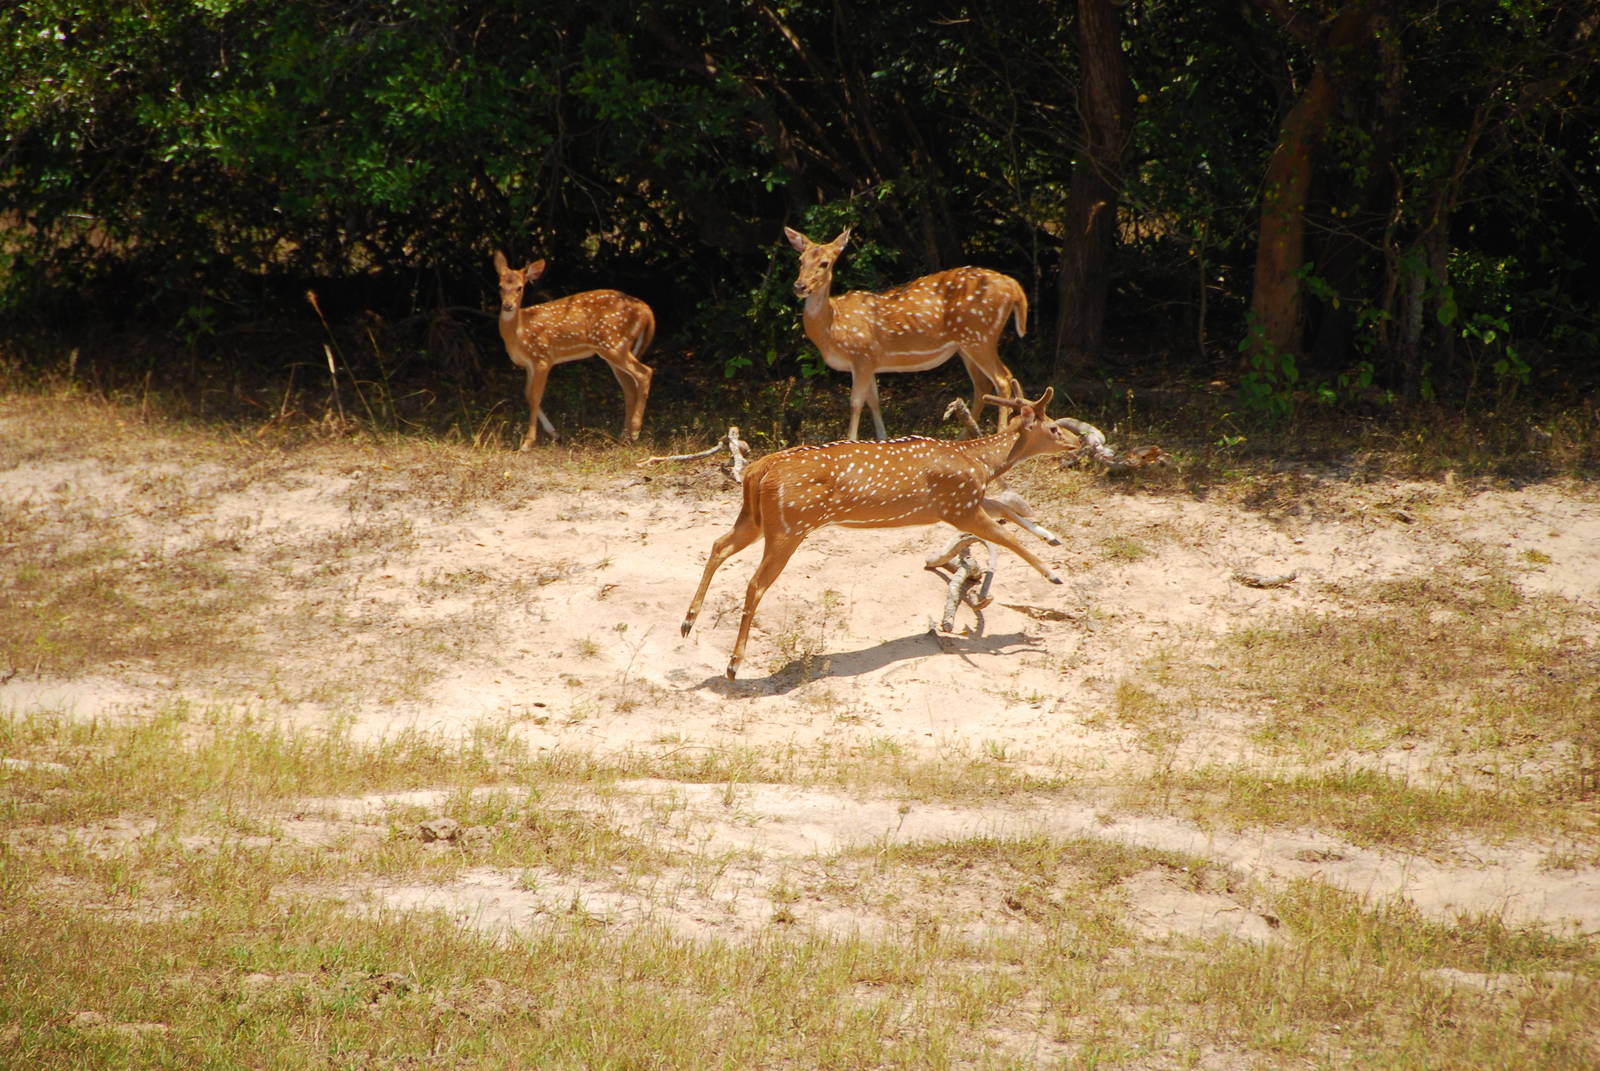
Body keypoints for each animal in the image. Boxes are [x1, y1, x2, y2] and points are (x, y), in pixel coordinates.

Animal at [493, 251, 655, 451]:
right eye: (500, 286)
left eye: (519, 288)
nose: (507, 306)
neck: (520, 331)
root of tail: (646, 310)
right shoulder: (528, 365)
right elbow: (527, 394)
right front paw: (555, 434)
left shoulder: (542, 357)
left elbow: (535, 397)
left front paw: (528, 443)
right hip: (614, 350)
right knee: (629, 387)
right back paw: (622, 437)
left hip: (613, 344)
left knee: (645, 372)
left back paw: (634, 432)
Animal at [681, 387, 1081, 679]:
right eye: (1053, 427)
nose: (1076, 443)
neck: (981, 464)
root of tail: (756, 470)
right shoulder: (958, 506)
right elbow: (1005, 534)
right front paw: (1054, 575)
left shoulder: (963, 504)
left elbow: (1007, 510)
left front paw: (1052, 537)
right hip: (789, 527)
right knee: (755, 583)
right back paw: (733, 664)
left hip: (754, 519)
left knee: (718, 545)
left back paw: (688, 622)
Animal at [784, 226, 1028, 441]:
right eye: (800, 260)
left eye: (824, 263)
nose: (799, 286)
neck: (832, 326)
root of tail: (1014, 286)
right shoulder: (871, 361)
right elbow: (874, 401)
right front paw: (882, 438)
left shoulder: (861, 355)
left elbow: (855, 402)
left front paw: (850, 440)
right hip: (966, 345)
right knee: (983, 385)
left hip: (980, 335)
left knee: (1002, 379)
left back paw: (1001, 432)